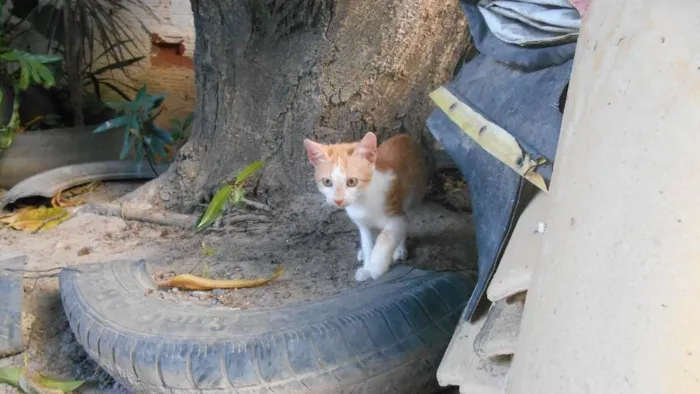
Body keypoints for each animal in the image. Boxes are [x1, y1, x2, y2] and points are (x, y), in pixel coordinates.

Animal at [304, 132, 430, 280]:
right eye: (327, 182)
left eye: (352, 181)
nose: (338, 200)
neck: (363, 201)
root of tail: (403, 136)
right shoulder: (361, 222)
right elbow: (367, 242)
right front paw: (366, 266)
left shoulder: (396, 215)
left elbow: (386, 237)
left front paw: (375, 268)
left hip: (414, 193)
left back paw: (399, 249)